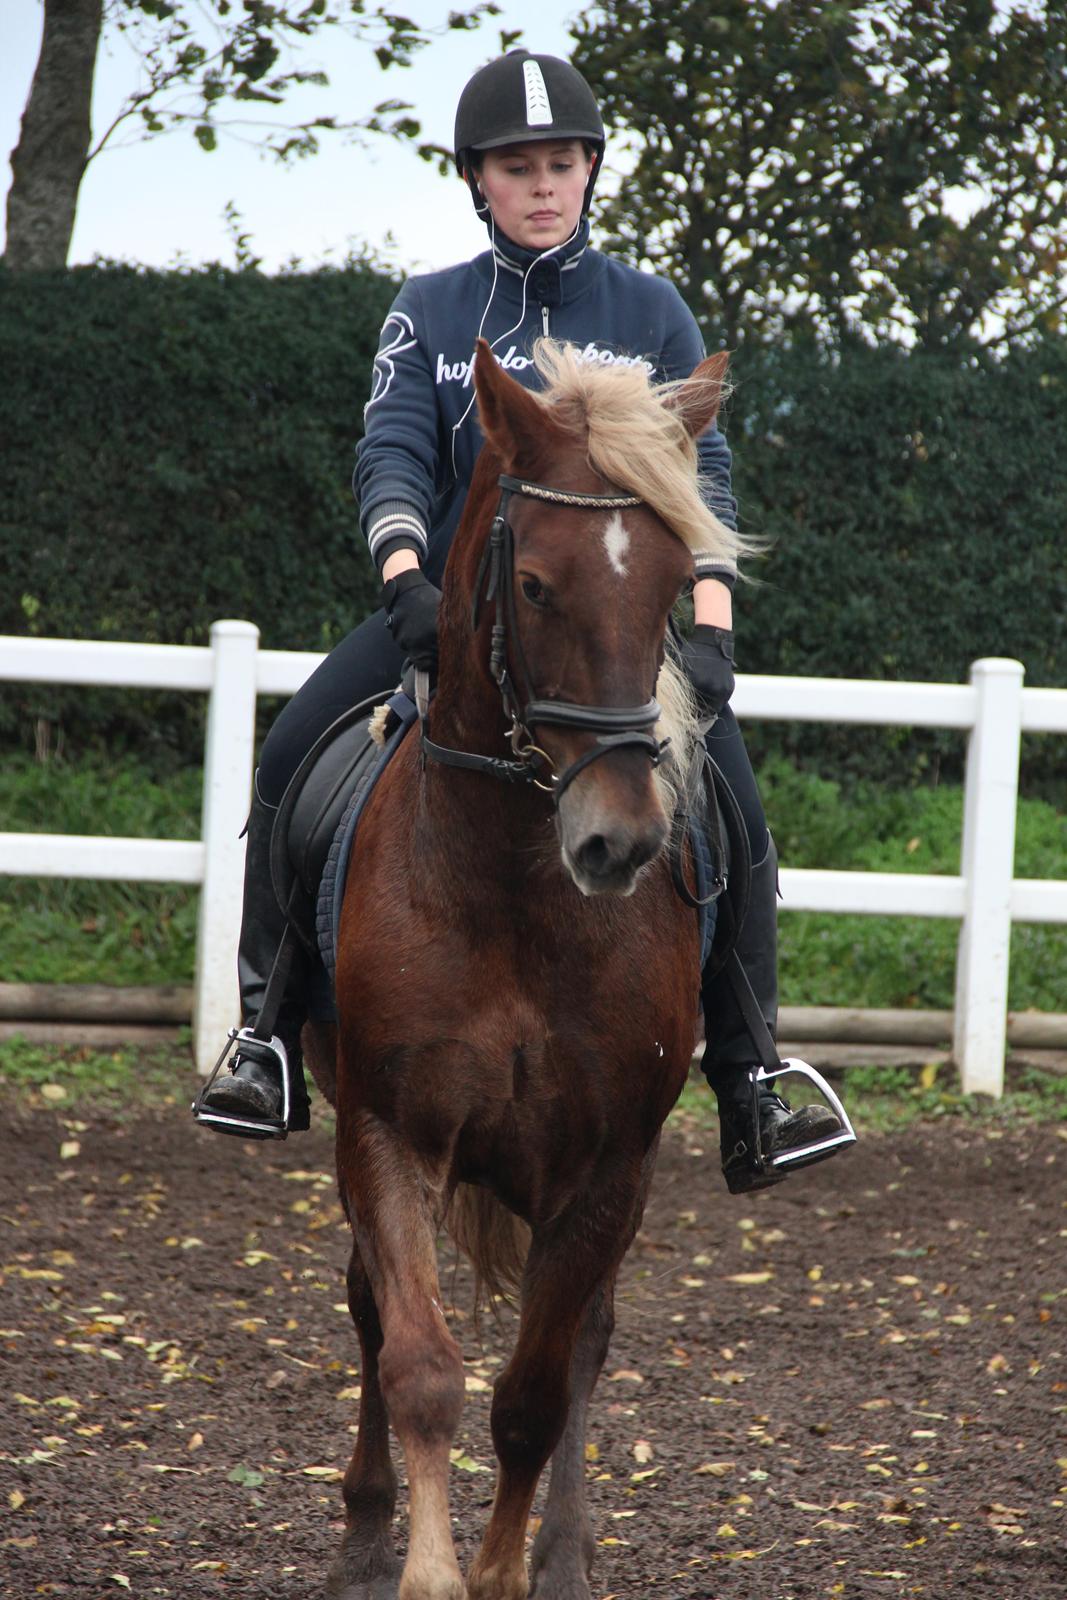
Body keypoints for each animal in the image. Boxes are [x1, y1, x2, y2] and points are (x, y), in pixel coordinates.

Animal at [300, 340, 735, 1600]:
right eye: (534, 586)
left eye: (672, 587)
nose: (620, 843)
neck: (513, 893)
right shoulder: (386, 1129)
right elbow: (419, 1362)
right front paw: (423, 1569)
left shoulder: (607, 1166)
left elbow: (536, 1393)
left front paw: (503, 1571)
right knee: (368, 1310)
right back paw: (363, 1528)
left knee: (584, 1341)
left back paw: (566, 1553)